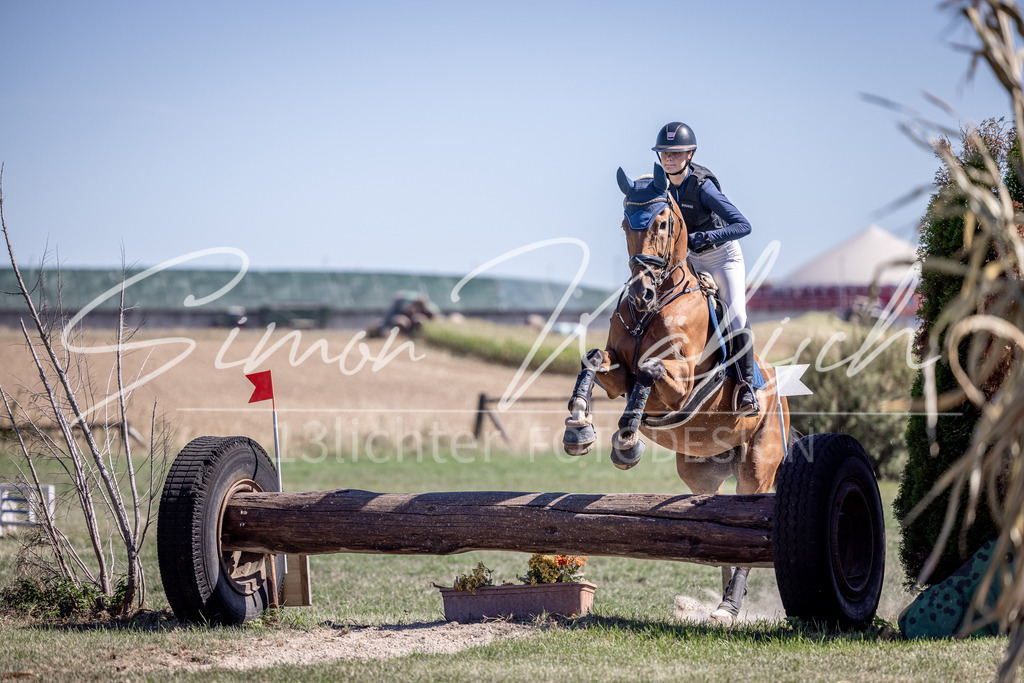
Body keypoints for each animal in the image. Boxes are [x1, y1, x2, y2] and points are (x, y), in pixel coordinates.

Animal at [562, 163, 790, 620]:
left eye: (664, 223)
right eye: (624, 223)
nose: (640, 292)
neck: (654, 306)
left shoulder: (680, 384)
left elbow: (649, 373)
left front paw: (626, 441)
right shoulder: (618, 372)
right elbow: (593, 361)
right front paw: (578, 427)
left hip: (758, 465)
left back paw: (729, 608)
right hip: (700, 473)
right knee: (716, 522)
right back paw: (723, 604)